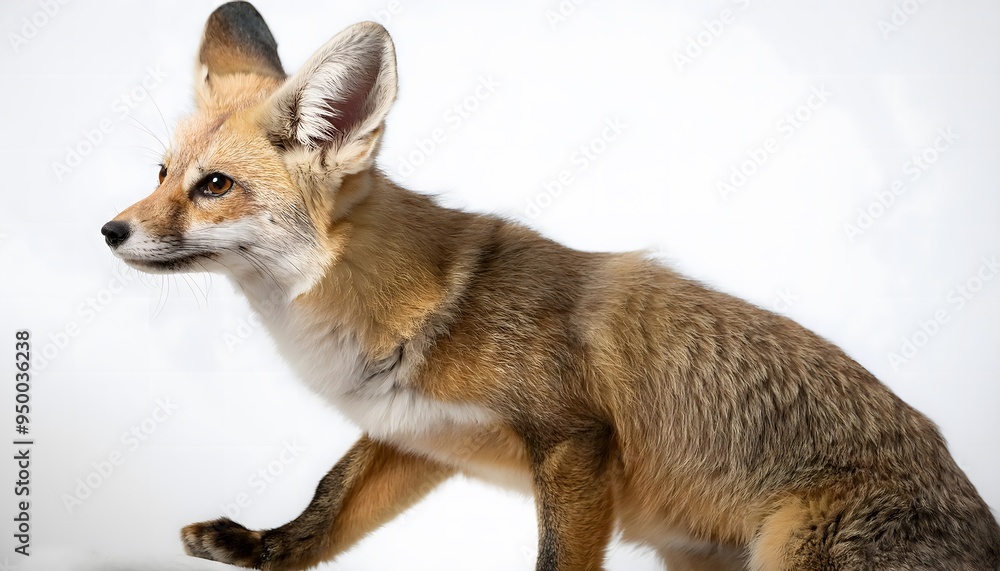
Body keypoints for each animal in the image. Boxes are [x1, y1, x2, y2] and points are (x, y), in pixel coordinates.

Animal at [100, 2, 1000, 570]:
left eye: (214, 187)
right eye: (160, 173)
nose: (108, 231)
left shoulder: (575, 441)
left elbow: (553, 557)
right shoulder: (415, 435)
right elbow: (329, 501)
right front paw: (263, 548)